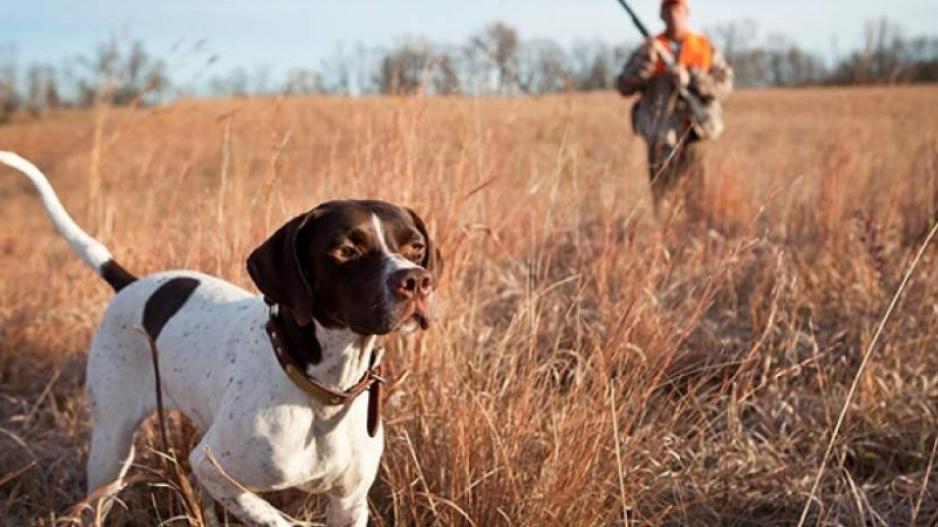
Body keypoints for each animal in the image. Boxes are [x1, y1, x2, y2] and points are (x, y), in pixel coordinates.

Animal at [0, 151, 438, 524]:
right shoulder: (211, 466)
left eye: (416, 246)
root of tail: (130, 284)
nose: (416, 281)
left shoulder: (349, 502)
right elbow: (276, 518)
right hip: (112, 445)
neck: (323, 389)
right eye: (346, 250)